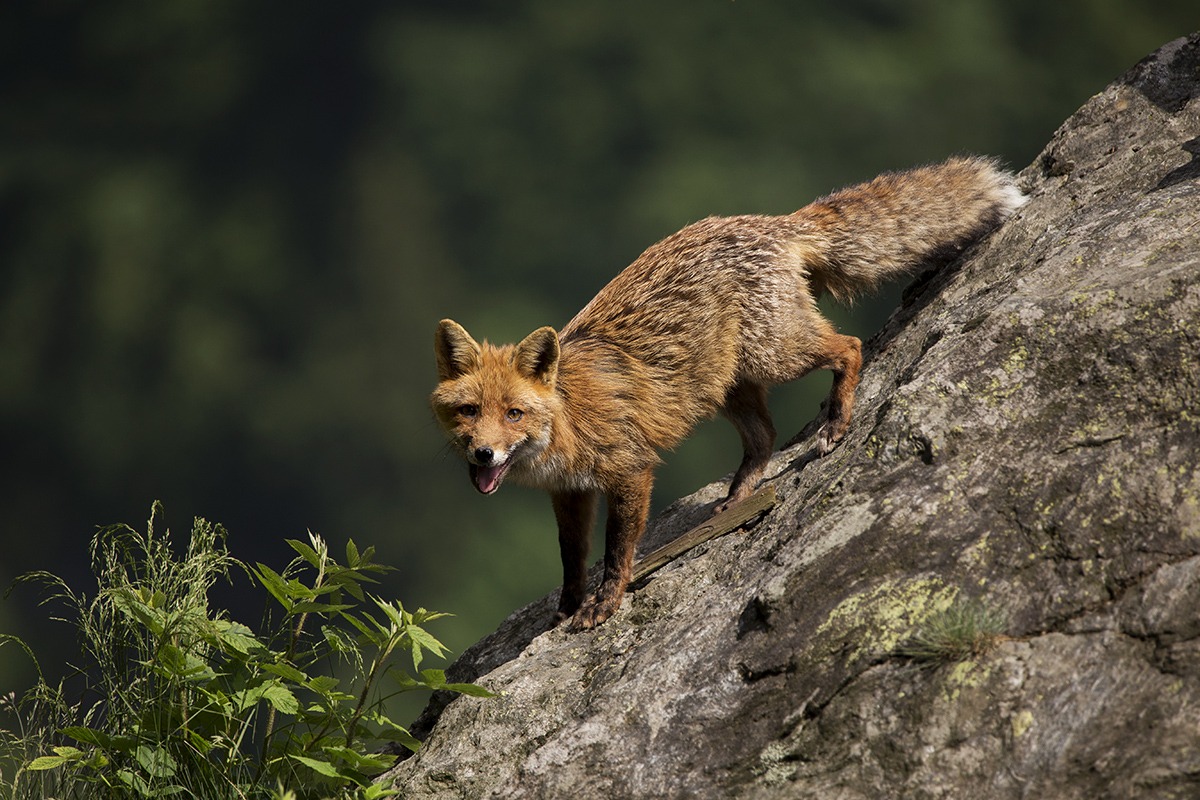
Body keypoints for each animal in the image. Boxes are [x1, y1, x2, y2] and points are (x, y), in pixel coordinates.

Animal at [431, 156, 1025, 630]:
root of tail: (771, 221)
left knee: (850, 347)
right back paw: (739, 498)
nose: (483, 454)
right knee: (764, 437)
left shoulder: (629, 471)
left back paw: (837, 422)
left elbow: (617, 551)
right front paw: (566, 609)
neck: (569, 421)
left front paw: (606, 603)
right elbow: (571, 560)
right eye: (469, 411)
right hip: (731, 387)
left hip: (776, 356)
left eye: (513, 413)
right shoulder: (570, 494)